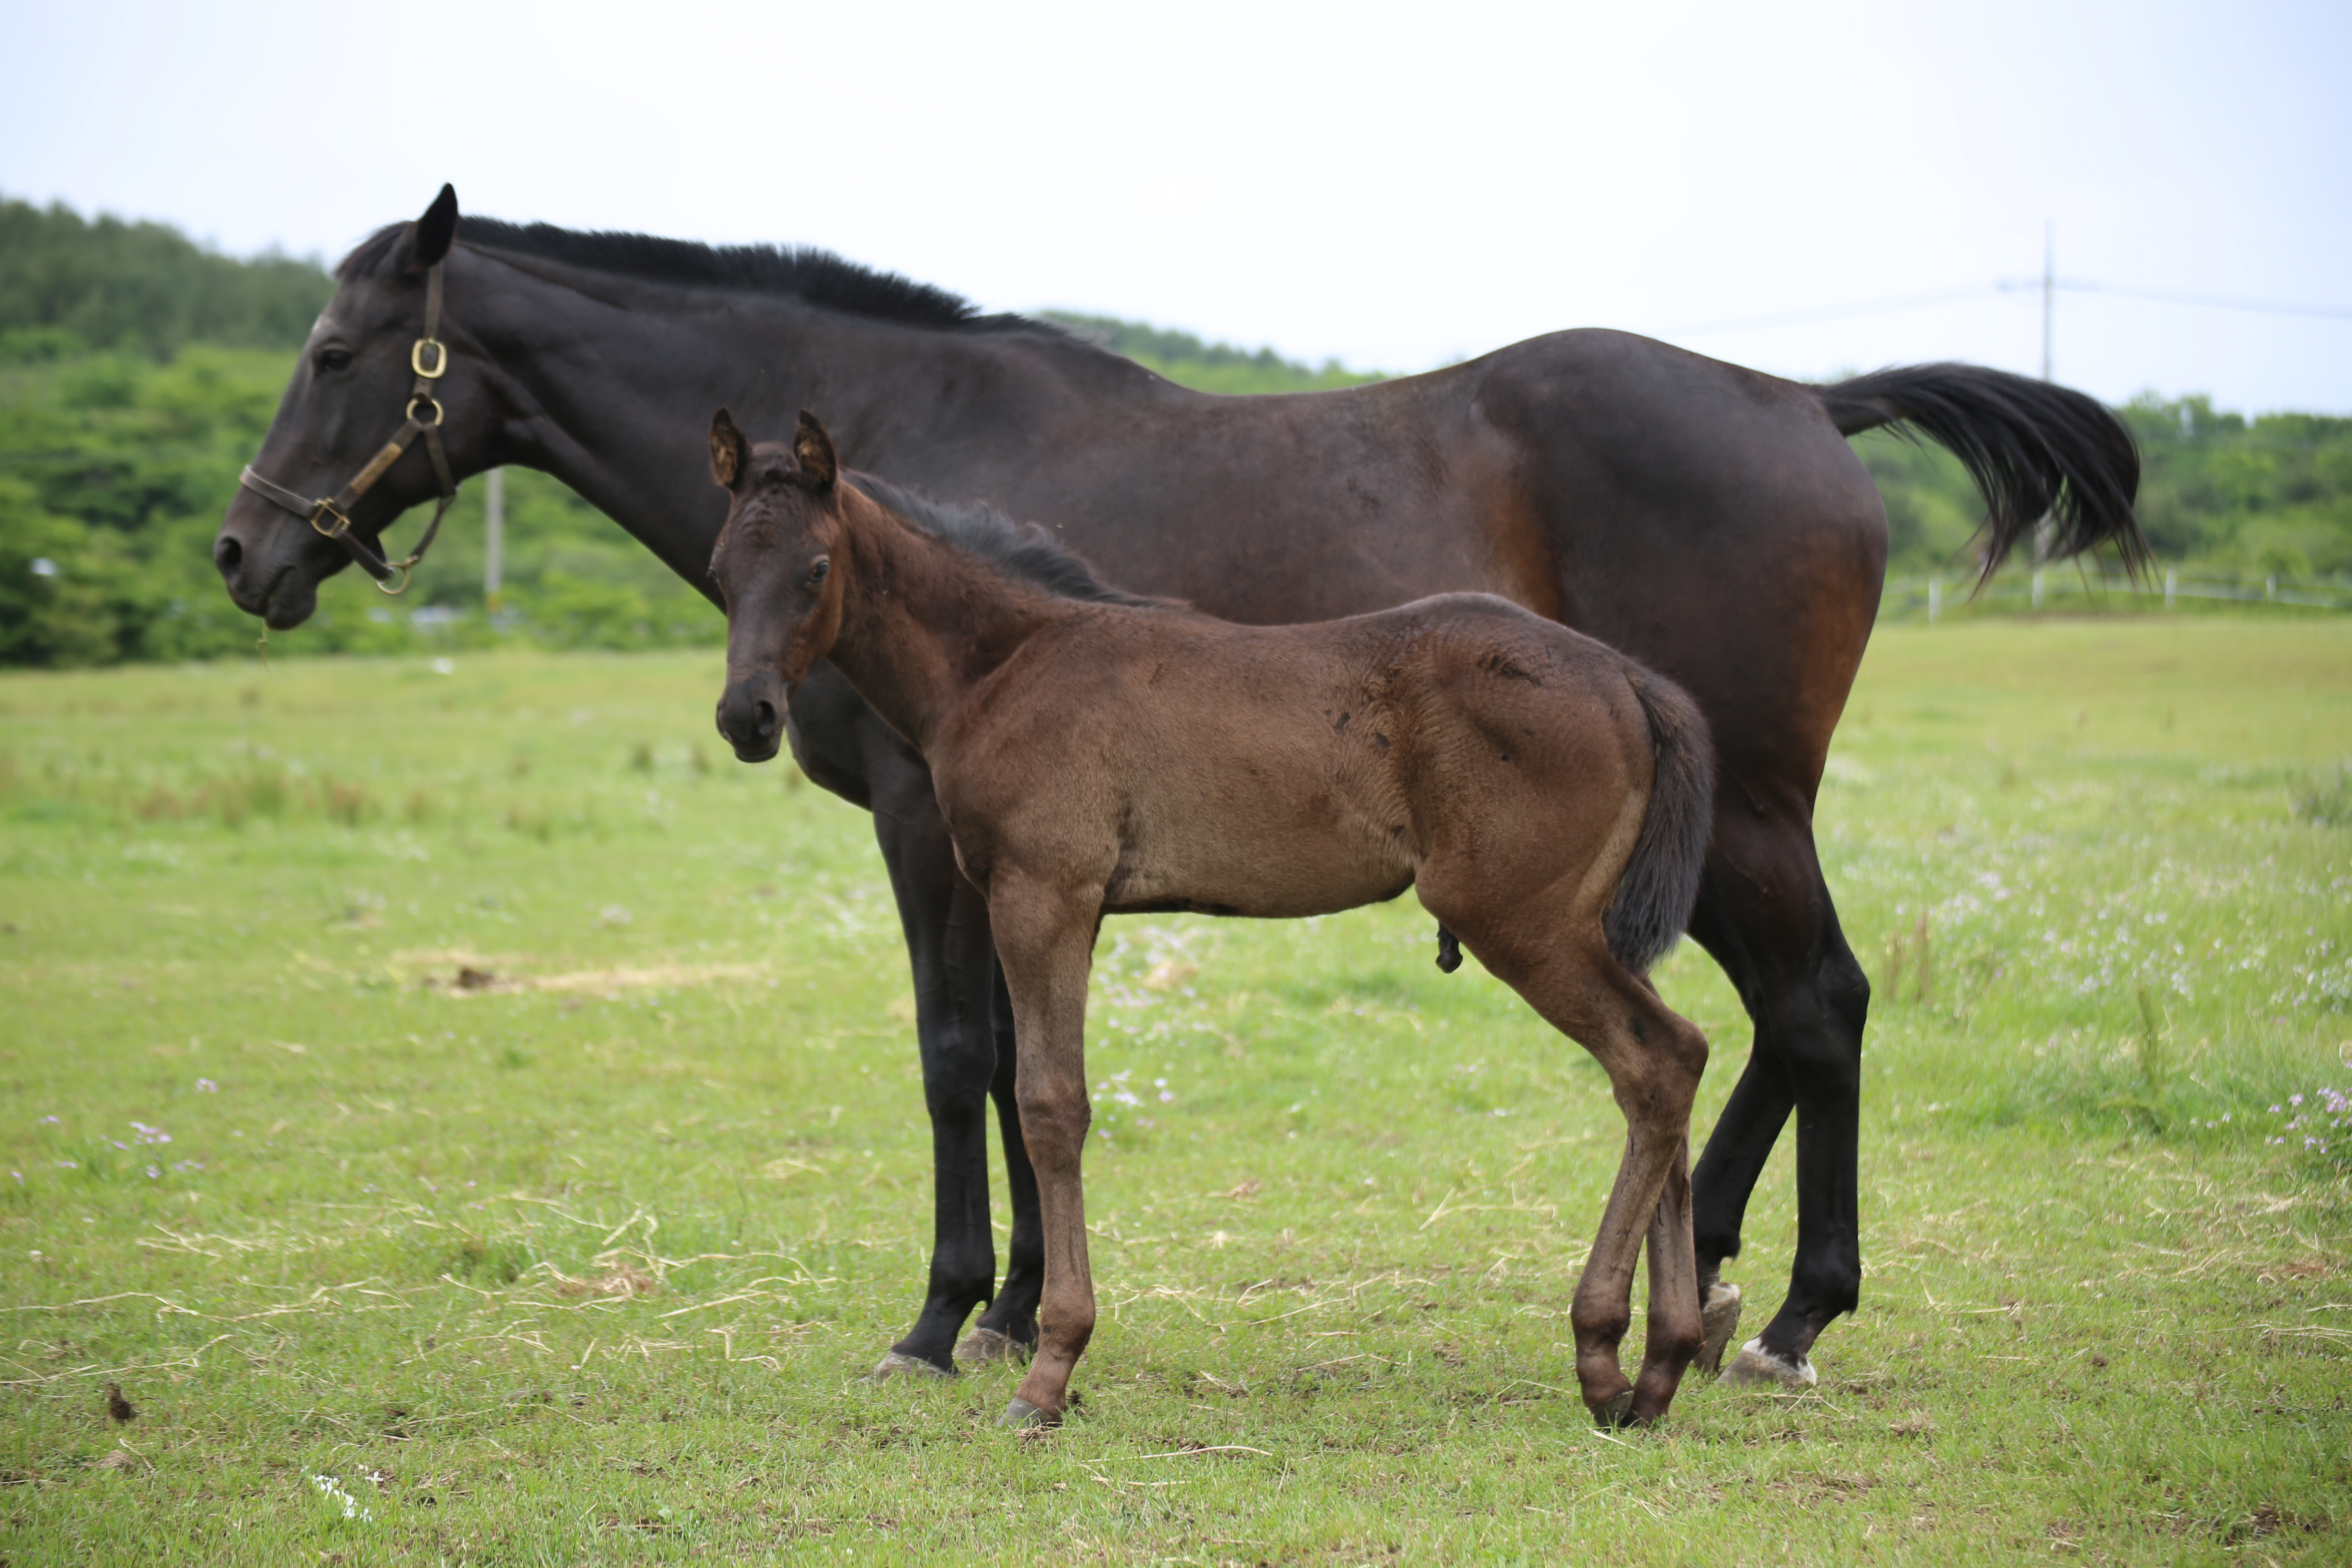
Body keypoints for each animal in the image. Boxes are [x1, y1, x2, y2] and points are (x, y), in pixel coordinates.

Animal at [706, 411, 1722, 1429]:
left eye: (815, 570)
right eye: (719, 569)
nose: (746, 718)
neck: (1006, 664)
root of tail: (1626, 676)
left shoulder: (1044, 894)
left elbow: (1049, 1105)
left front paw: (1050, 1368)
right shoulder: (1044, 903)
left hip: (1519, 918)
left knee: (1656, 1063)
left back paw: (1603, 1354)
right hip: (1589, 924)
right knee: (1672, 1064)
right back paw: (1662, 1364)